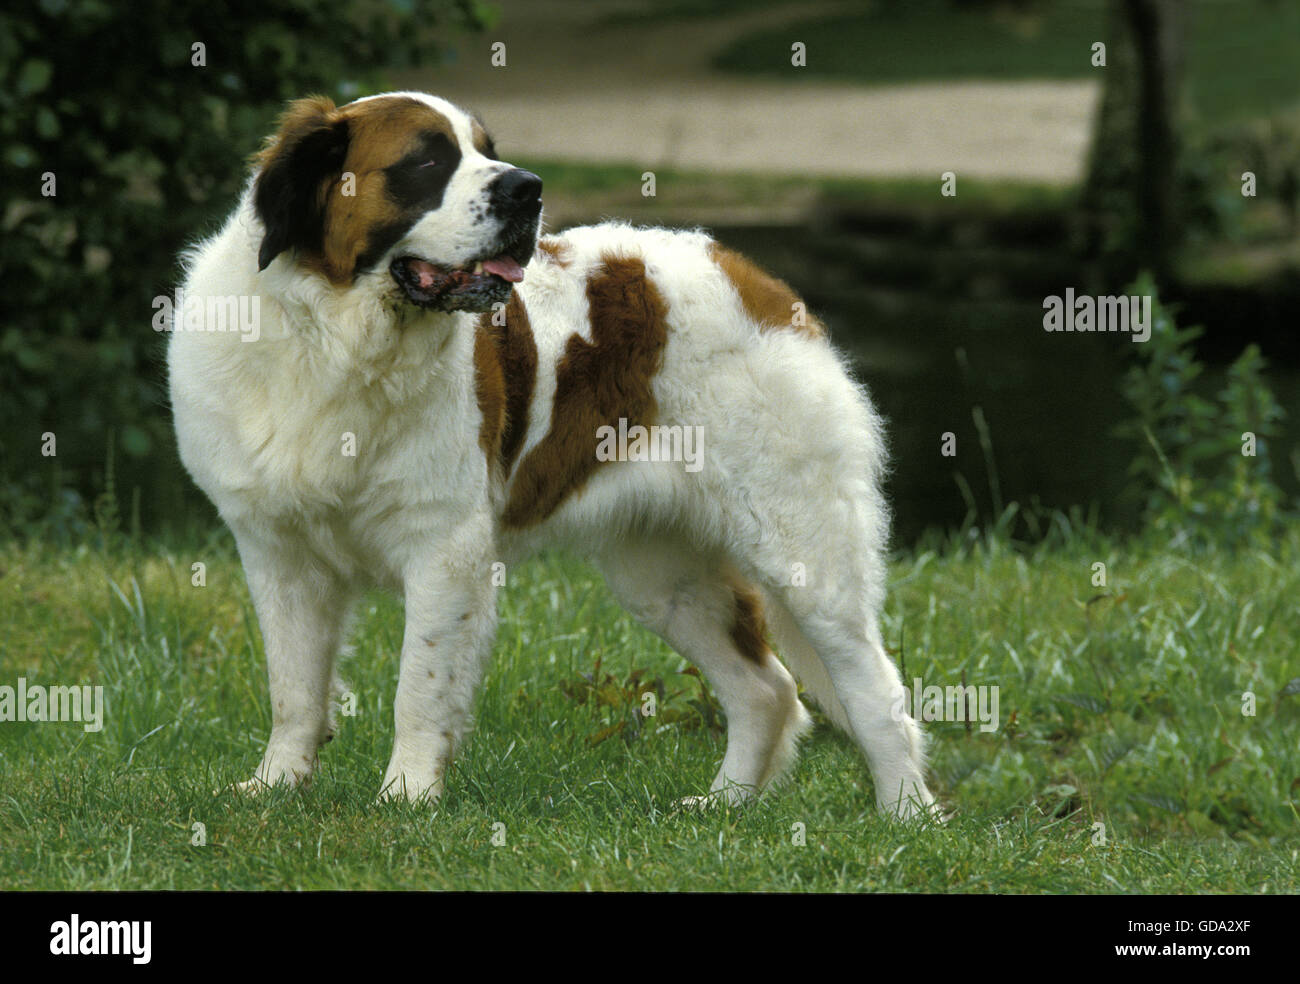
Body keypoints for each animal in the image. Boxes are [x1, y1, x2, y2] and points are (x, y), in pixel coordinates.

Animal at [167, 90, 935, 816]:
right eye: (427, 162)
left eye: (487, 150)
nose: (526, 187)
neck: (335, 338)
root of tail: (756, 279)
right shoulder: (278, 551)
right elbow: (293, 688)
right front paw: (275, 788)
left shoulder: (445, 548)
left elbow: (420, 685)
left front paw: (406, 798)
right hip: (663, 573)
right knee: (767, 687)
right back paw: (723, 806)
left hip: (805, 547)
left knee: (875, 691)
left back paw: (905, 816)